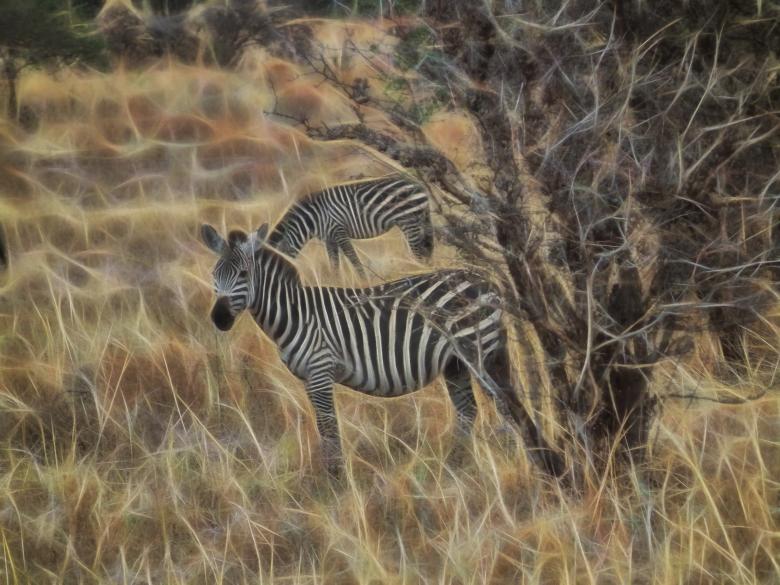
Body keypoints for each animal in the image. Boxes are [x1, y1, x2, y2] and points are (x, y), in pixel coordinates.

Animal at [201, 223, 564, 478]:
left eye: (243, 274)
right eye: (214, 275)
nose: (218, 319)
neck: (295, 314)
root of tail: (485, 280)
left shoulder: (320, 371)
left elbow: (329, 428)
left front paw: (336, 481)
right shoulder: (309, 379)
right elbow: (324, 428)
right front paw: (334, 477)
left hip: (478, 353)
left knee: (505, 406)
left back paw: (529, 467)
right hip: (455, 364)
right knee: (468, 412)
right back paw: (455, 467)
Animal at [267, 176, 434, 277]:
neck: (312, 218)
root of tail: (418, 185)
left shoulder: (338, 230)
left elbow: (352, 257)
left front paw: (363, 280)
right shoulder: (329, 238)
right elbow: (334, 262)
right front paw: (335, 281)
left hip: (409, 221)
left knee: (418, 251)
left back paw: (420, 271)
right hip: (418, 221)